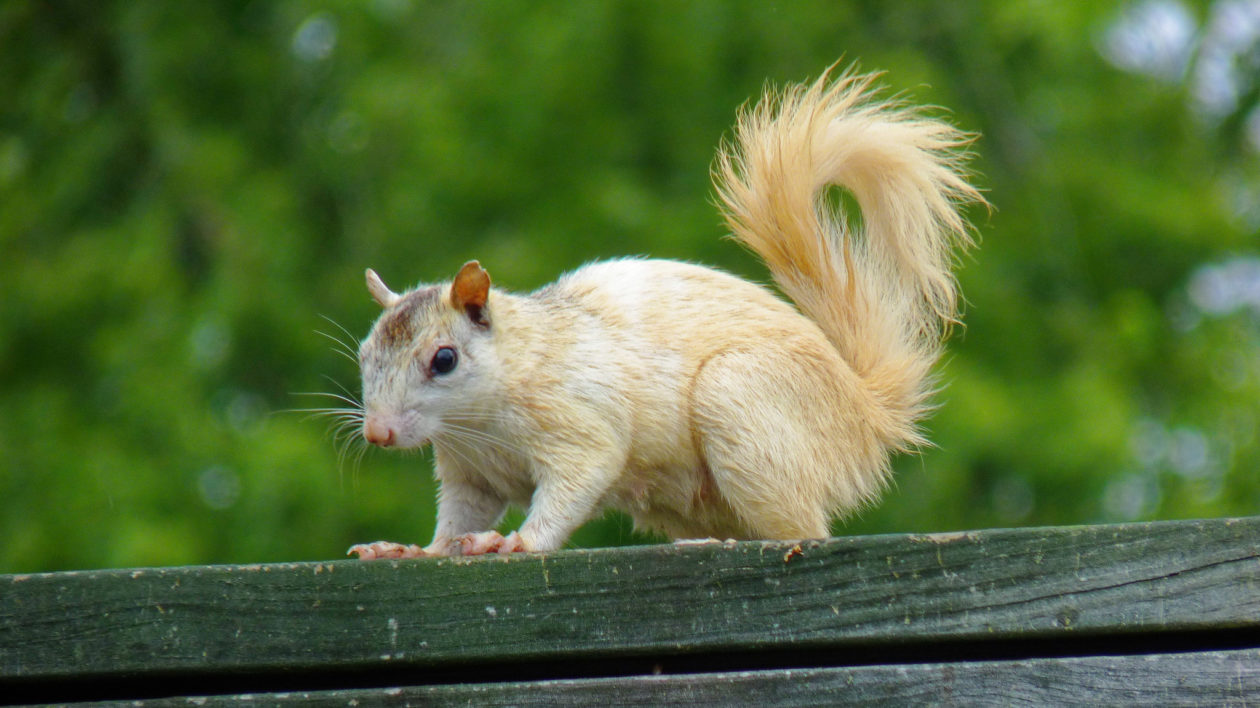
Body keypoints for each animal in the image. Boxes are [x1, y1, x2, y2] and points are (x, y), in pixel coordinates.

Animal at [345, 68, 982, 559]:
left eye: (444, 360)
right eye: (364, 354)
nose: (377, 433)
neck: (477, 421)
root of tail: (865, 412)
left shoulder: (580, 422)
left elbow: (575, 484)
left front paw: (518, 541)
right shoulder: (468, 472)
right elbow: (459, 519)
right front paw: (414, 550)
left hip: (744, 406)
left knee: (801, 531)